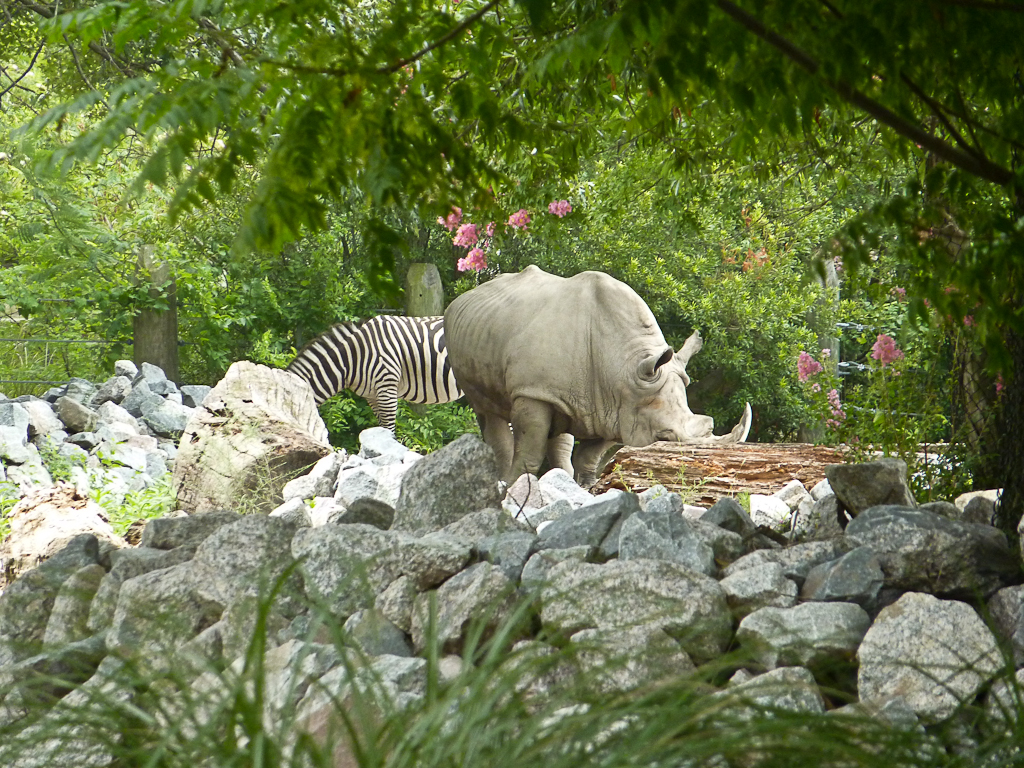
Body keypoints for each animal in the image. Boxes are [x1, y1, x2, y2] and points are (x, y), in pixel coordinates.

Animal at [444, 266, 752, 485]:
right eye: (663, 437)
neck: (626, 366)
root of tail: (467, 295)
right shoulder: (532, 391)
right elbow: (530, 450)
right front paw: (512, 486)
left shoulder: (615, 406)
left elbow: (589, 457)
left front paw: (586, 488)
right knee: (486, 410)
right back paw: (501, 477)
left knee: (561, 425)